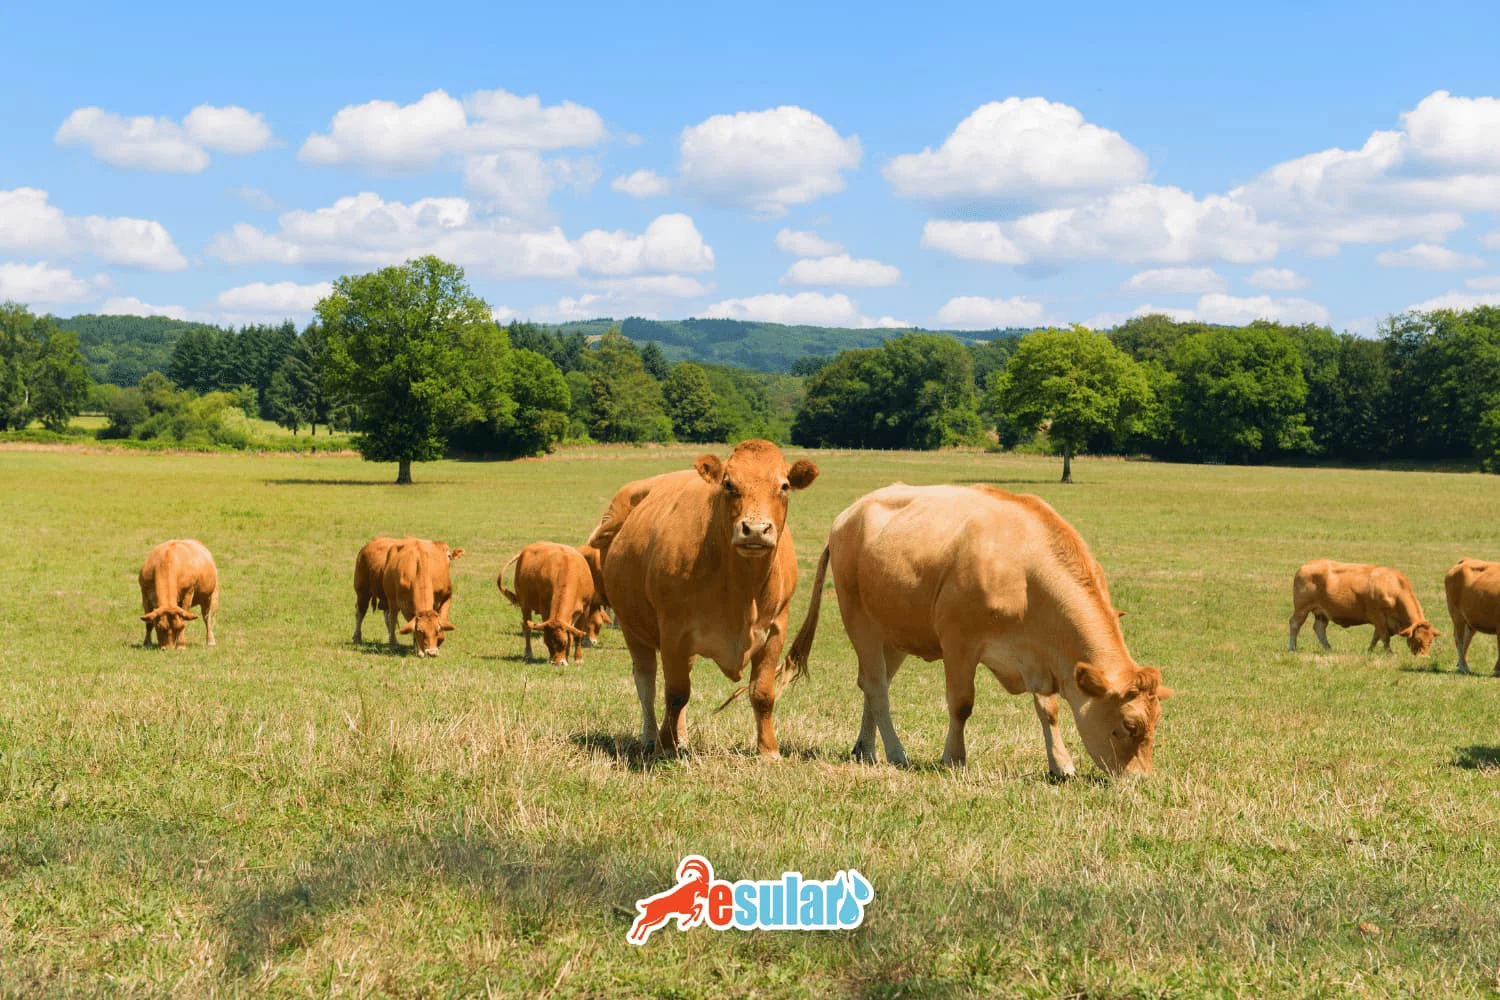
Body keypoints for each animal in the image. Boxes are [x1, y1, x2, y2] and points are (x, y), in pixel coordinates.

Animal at [600, 441, 819, 758]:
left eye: (784, 486)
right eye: (729, 484)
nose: (755, 530)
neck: (743, 591)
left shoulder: (776, 630)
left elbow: (763, 693)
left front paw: (769, 750)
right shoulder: (674, 632)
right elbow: (675, 694)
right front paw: (665, 747)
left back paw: (680, 736)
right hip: (633, 629)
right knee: (647, 683)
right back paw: (652, 737)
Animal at [782, 484, 1171, 778]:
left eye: (1156, 724)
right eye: (1130, 725)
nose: (1139, 779)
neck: (1027, 574)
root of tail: (848, 515)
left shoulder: (1038, 656)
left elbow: (1049, 710)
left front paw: (1061, 765)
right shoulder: (959, 643)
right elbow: (961, 704)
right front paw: (954, 758)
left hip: (893, 634)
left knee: (871, 684)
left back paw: (865, 749)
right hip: (859, 620)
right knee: (877, 688)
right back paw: (896, 752)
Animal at [1288, 559, 1438, 655]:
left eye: (1431, 640)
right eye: (1418, 639)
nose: (1424, 657)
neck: (1394, 586)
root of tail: (1307, 565)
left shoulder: (1381, 621)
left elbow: (1376, 636)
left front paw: (1369, 651)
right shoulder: (1377, 616)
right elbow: (1384, 636)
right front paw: (1389, 653)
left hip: (1322, 612)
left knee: (1319, 628)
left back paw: (1328, 648)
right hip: (1302, 608)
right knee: (1295, 624)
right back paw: (1292, 648)